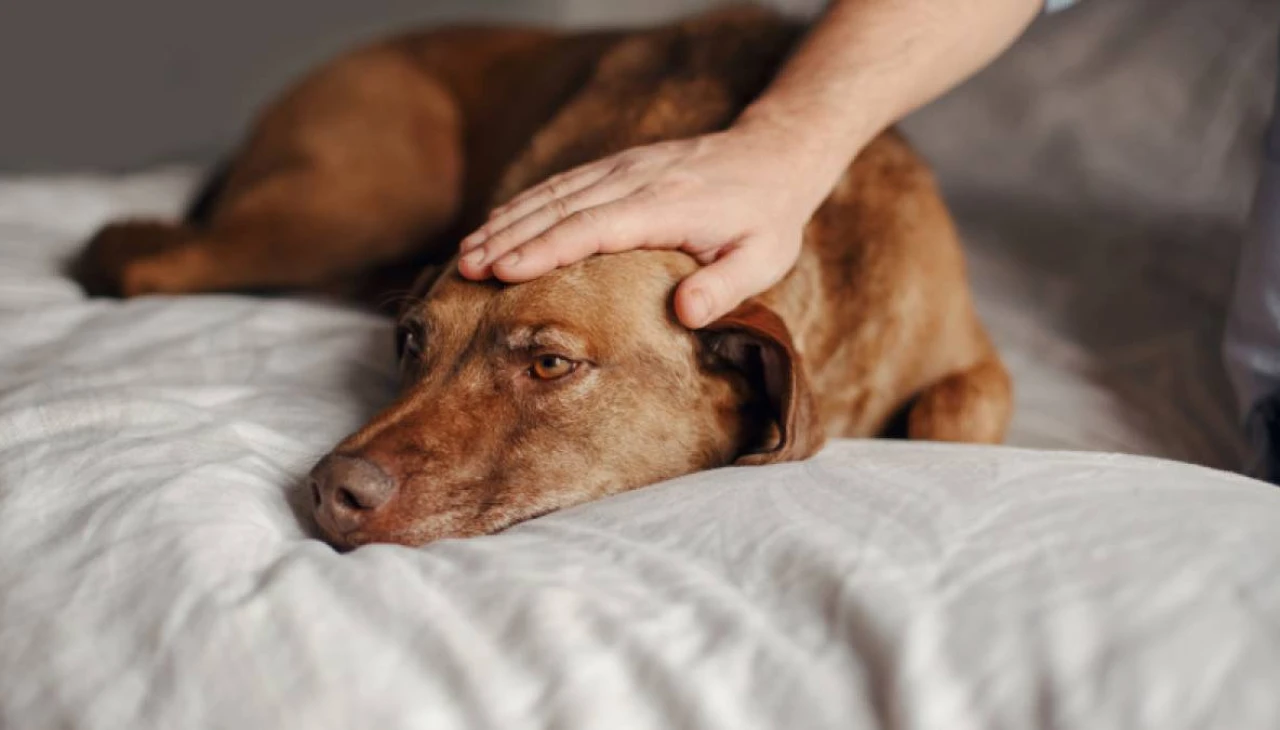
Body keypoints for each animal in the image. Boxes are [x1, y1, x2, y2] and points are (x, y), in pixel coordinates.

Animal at [73, 5, 1012, 548]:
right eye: (410, 342)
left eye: (551, 364)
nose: (331, 491)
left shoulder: (972, 359)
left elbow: (958, 410)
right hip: (357, 201)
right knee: (141, 257)